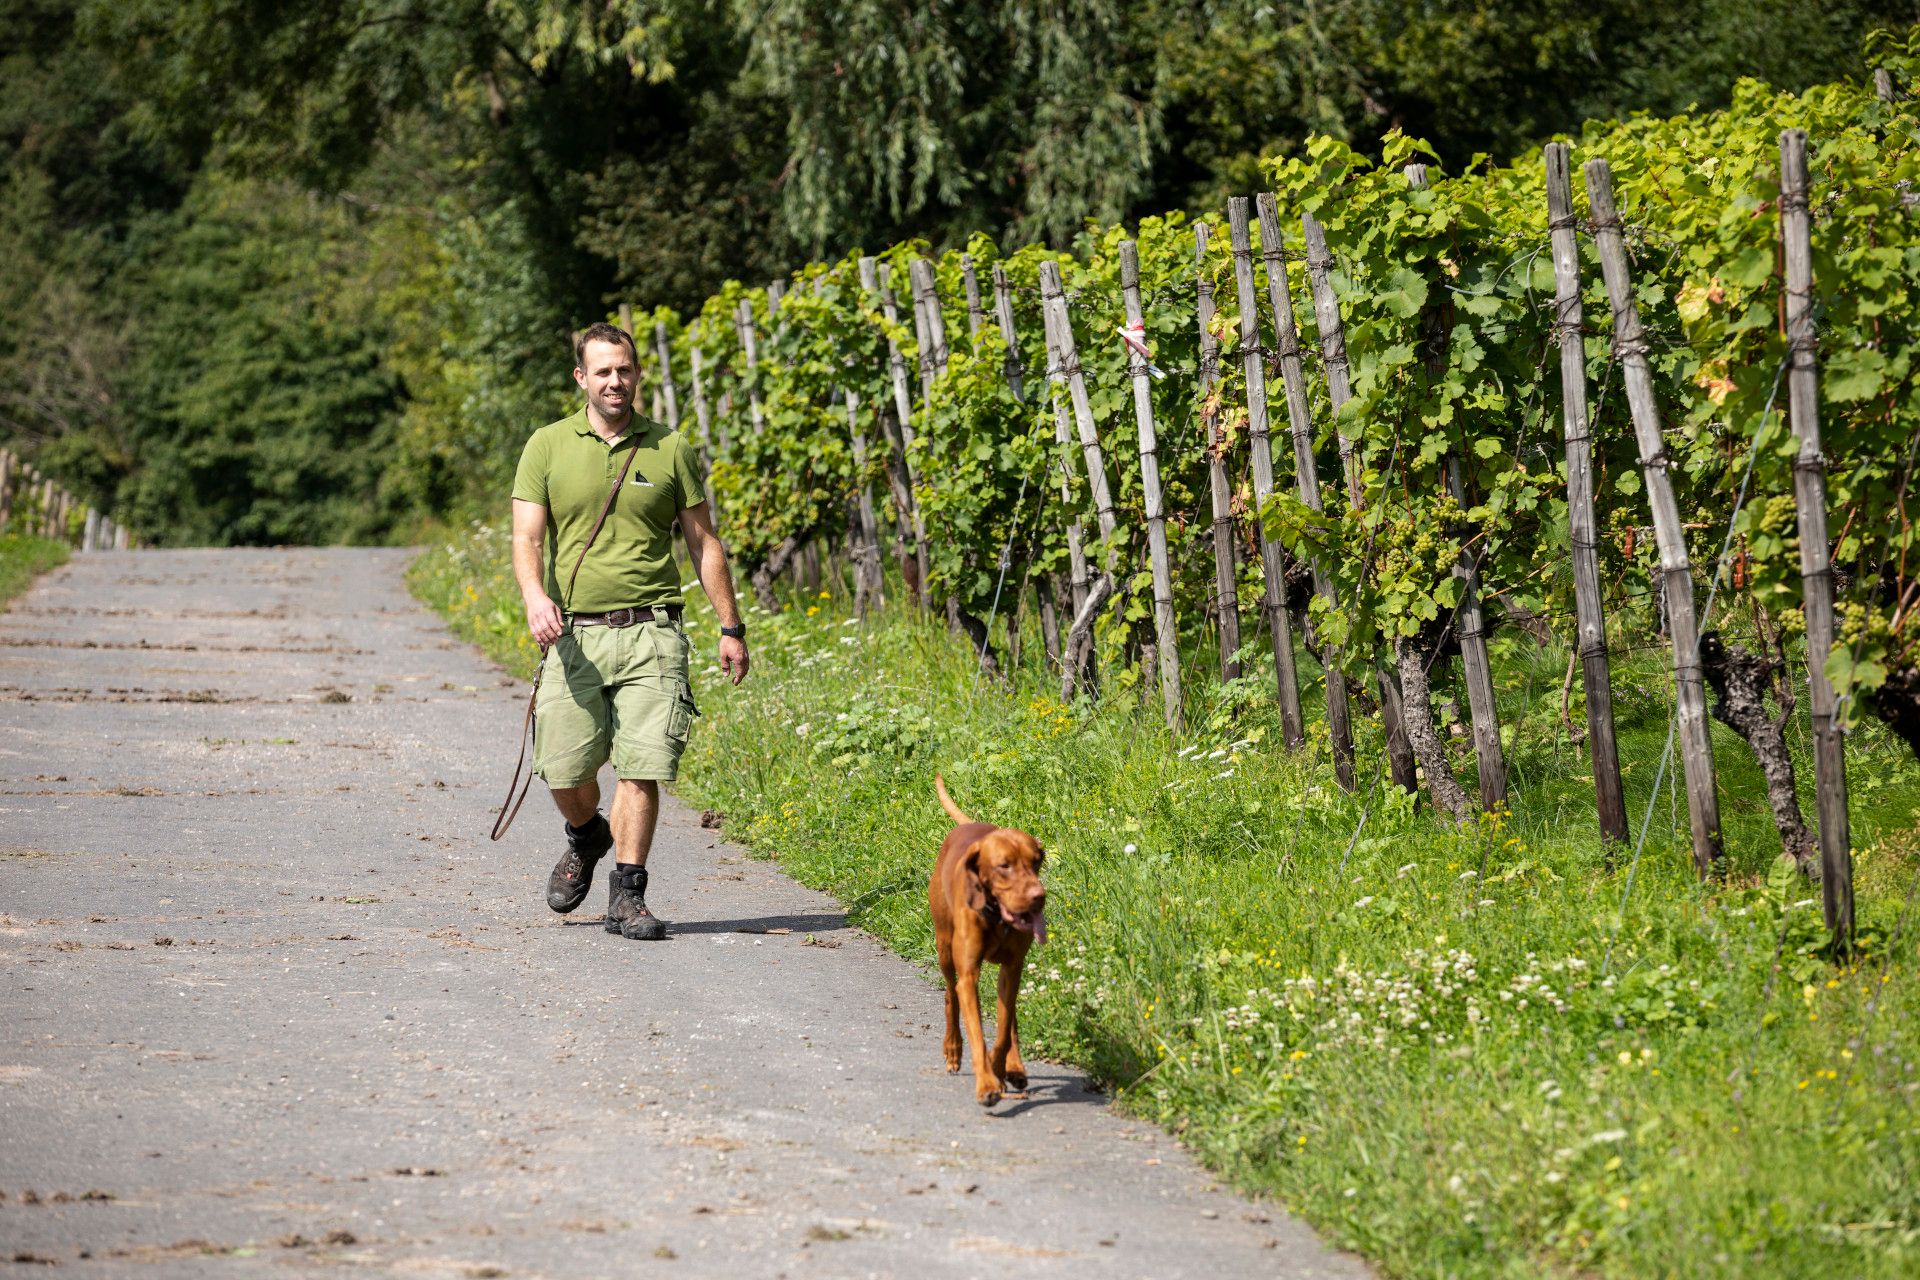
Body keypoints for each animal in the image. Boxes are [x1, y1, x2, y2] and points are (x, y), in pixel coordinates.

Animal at [929, 775, 1052, 1105]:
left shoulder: (1012, 969)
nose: (1039, 897)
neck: (997, 918)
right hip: (945, 950)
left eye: (1036, 862)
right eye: (1004, 866)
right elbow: (977, 1035)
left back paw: (1015, 1067)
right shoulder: (969, 975)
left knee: (1011, 1021)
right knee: (950, 995)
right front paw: (986, 1084)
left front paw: (999, 1070)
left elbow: (1003, 1032)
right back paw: (952, 1050)